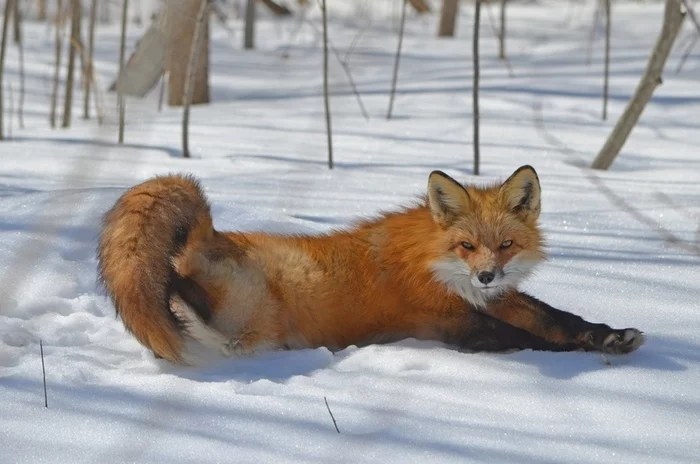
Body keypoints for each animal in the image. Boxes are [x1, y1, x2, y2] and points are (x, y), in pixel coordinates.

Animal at [97, 165, 644, 364]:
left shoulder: (492, 300)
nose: (487, 275)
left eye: (505, 244)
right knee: (199, 308)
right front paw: (581, 353)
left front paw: (609, 336)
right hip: (259, 317)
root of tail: (212, 232)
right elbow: (531, 339)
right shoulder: (446, 322)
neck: (432, 265)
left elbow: (559, 318)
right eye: (467, 246)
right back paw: (179, 303)